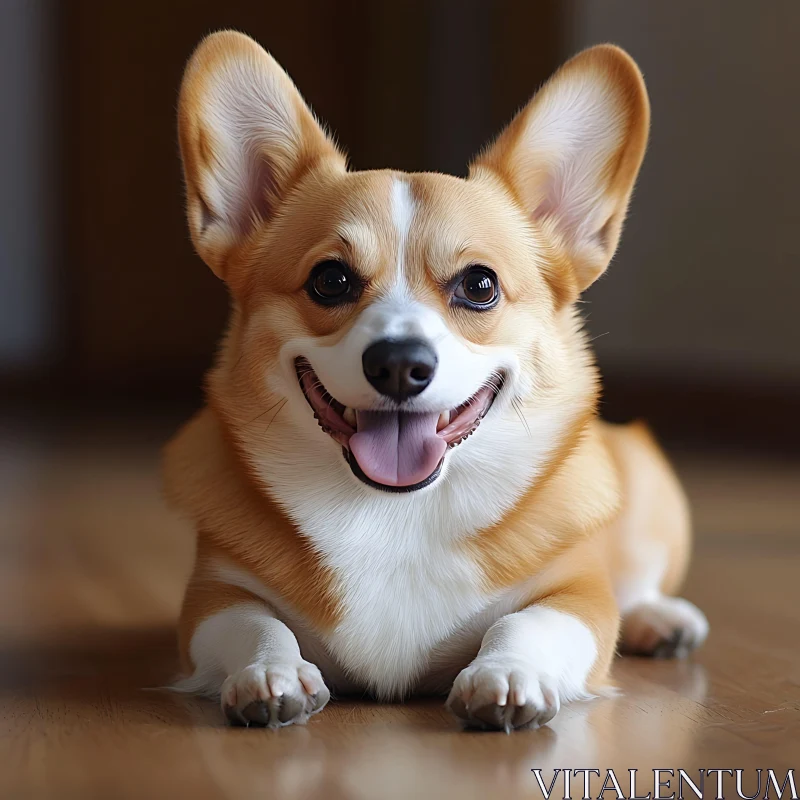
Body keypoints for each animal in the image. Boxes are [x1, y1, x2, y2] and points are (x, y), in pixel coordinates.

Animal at [162, 31, 708, 732]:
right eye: (330, 280)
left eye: (479, 285)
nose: (399, 363)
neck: (398, 511)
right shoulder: (214, 593)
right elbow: (253, 626)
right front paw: (270, 675)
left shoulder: (578, 593)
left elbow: (530, 624)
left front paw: (508, 676)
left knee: (637, 584)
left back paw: (659, 619)